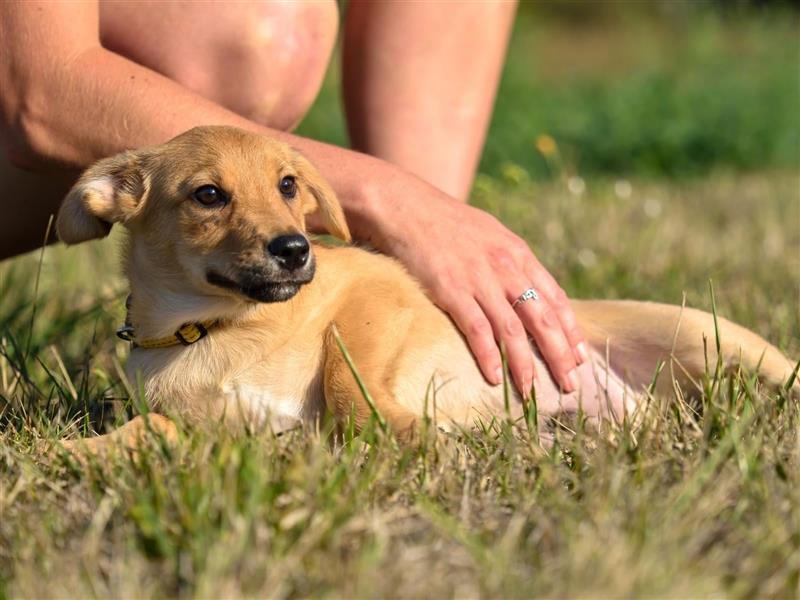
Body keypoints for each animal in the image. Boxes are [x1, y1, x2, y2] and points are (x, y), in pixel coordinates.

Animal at [54, 126, 792, 452]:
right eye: (208, 195)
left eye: (288, 186)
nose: (294, 250)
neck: (217, 327)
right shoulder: (205, 426)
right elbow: (146, 430)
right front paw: (73, 454)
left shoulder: (375, 297)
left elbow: (346, 371)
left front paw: (403, 430)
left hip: (703, 337)